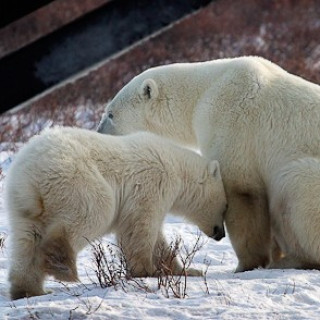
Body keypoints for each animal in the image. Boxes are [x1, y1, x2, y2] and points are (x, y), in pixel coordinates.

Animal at [97, 56, 320, 272]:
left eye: (111, 113)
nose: (98, 131)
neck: (203, 92)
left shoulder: (231, 122)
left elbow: (241, 191)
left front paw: (245, 265)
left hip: (306, 177)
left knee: (294, 184)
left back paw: (291, 260)